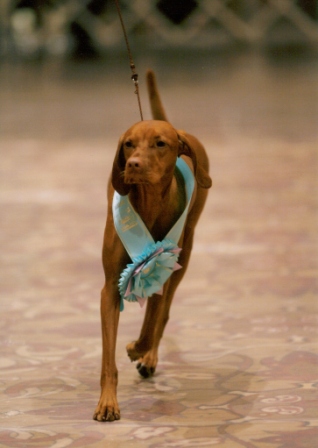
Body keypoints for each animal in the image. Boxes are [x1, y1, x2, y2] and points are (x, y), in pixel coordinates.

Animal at [95, 69, 214, 420]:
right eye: (128, 144)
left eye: (160, 144)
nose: (132, 164)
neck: (147, 206)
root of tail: (179, 126)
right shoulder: (110, 286)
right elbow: (108, 359)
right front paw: (107, 402)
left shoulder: (160, 267)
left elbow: (151, 326)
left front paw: (137, 348)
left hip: (183, 258)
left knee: (164, 314)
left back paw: (148, 357)